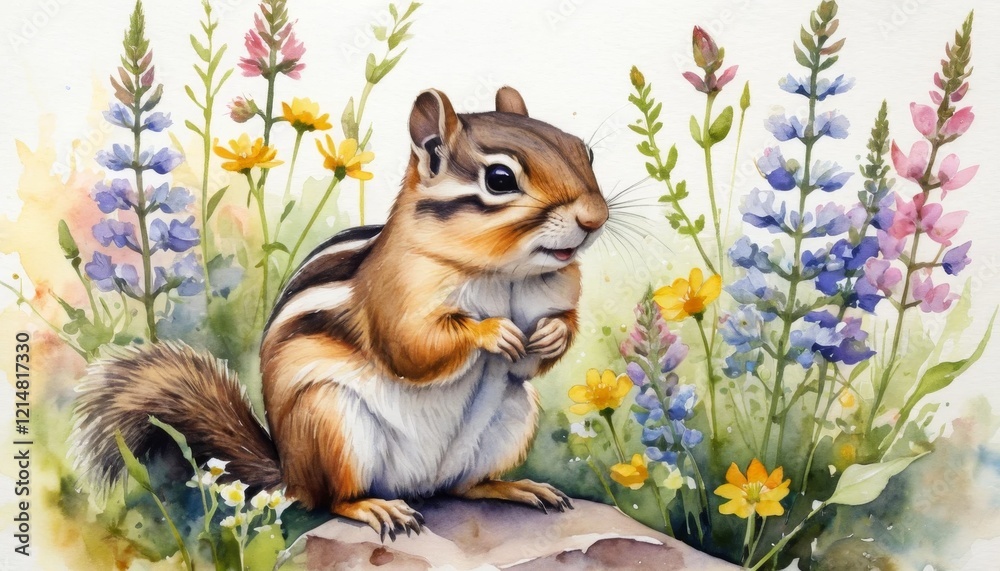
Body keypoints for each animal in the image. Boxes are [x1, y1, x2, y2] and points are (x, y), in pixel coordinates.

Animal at [71, 86, 609, 540]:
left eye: (585, 152)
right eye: (500, 180)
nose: (595, 218)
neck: (505, 273)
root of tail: (290, 473)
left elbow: (542, 346)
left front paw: (553, 334)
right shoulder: (395, 299)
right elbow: (412, 348)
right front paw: (492, 332)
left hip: (513, 418)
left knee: (462, 486)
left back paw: (517, 487)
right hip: (330, 422)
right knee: (332, 499)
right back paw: (376, 507)